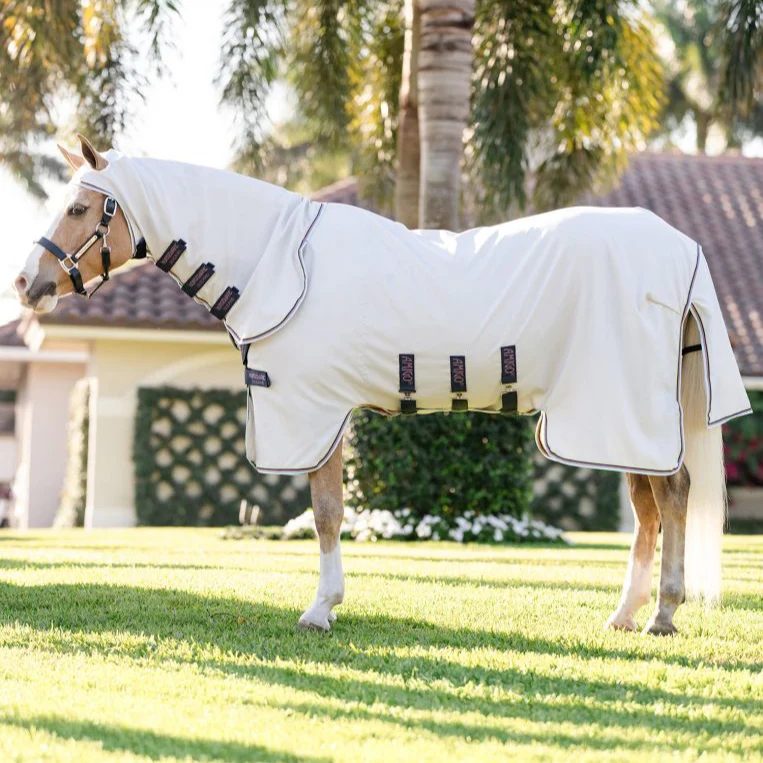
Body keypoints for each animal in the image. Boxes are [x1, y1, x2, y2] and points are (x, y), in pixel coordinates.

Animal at [14, 135, 751, 635]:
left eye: (79, 207)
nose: (27, 283)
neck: (280, 262)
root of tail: (680, 248)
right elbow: (329, 509)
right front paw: (327, 602)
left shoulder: (314, 411)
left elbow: (326, 511)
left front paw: (320, 608)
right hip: (614, 416)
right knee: (648, 508)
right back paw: (625, 613)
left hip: (620, 410)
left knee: (672, 497)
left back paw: (662, 614)